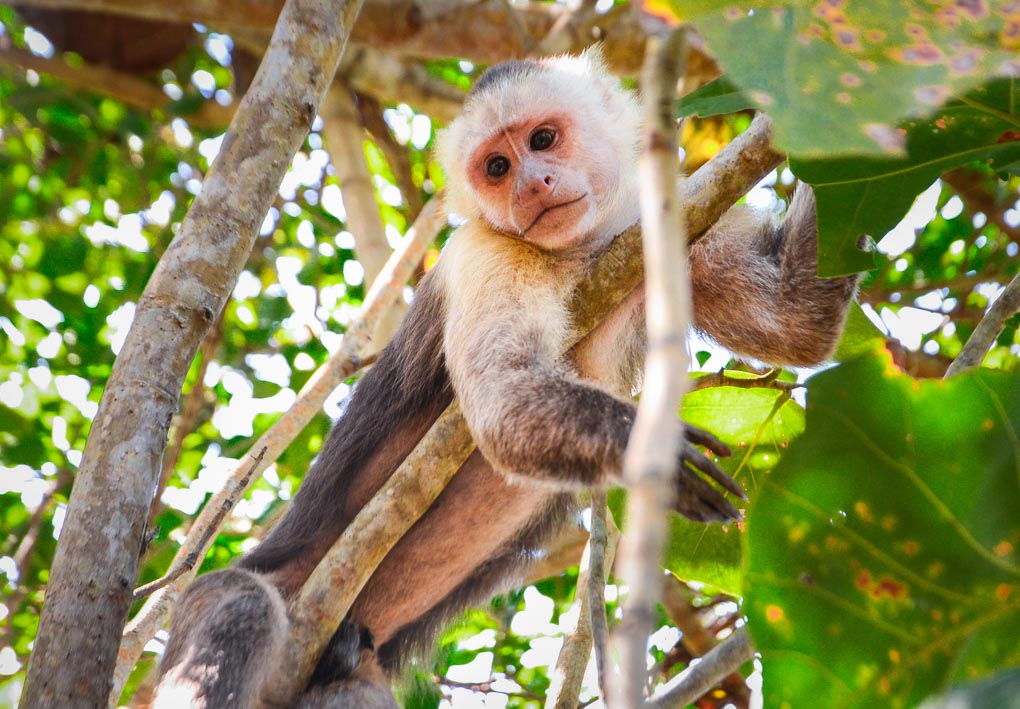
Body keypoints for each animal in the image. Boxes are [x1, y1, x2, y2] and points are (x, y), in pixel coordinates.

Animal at [153, 51, 859, 707]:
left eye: (542, 140)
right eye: (497, 167)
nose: (533, 184)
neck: (580, 251)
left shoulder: (671, 225)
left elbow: (796, 324)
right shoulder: (486, 254)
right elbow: (503, 402)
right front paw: (651, 449)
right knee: (240, 606)